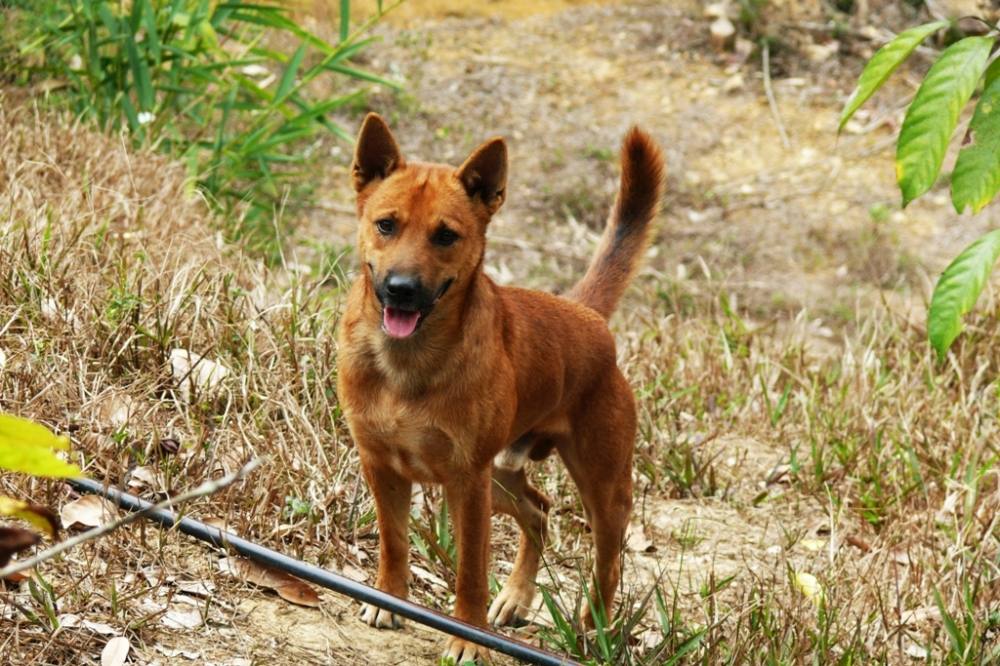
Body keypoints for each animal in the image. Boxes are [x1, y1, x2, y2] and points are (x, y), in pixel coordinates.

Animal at [336, 114, 664, 660]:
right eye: (386, 225)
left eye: (446, 236)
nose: (401, 289)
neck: (408, 364)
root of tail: (586, 315)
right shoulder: (382, 466)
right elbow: (394, 542)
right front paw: (389, 600)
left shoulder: (467, 482)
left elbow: (470, 571)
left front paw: (468, 640)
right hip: (500, 477)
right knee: (540, 511)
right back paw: (516, 597)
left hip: (599, 490)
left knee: (608, 562)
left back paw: (590, 628)